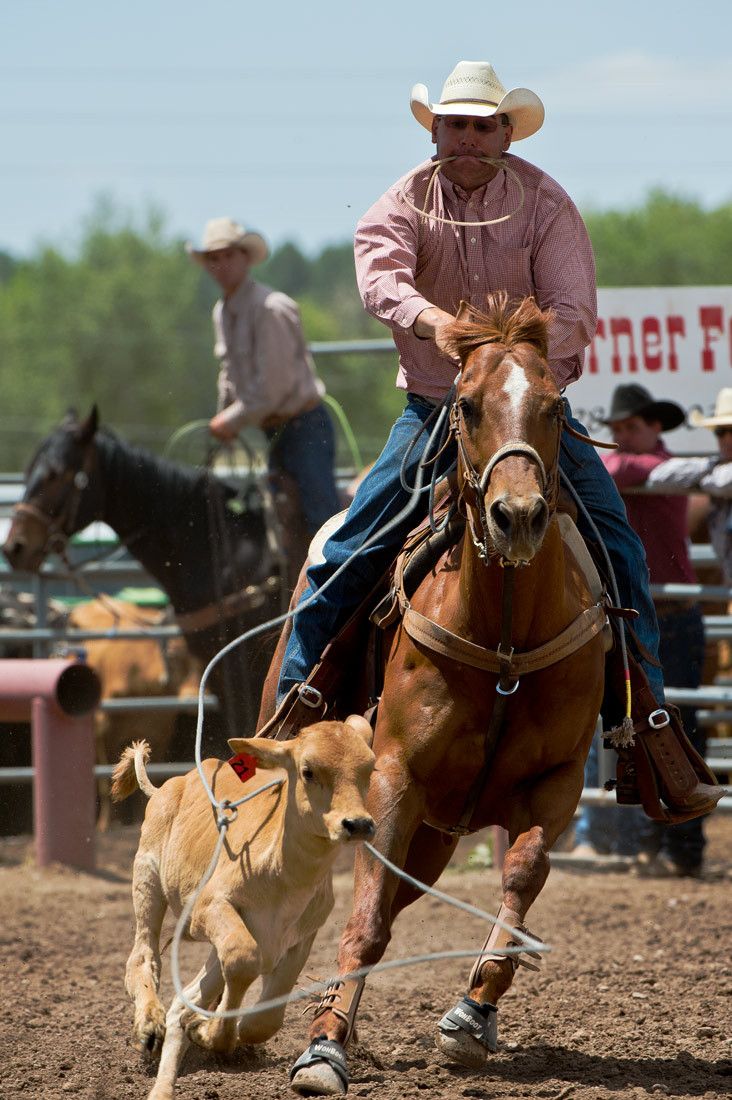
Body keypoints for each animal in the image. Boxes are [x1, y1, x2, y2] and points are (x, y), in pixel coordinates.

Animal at [110, 716, 376, 1100]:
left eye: (369, 768)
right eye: (308, 770)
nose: (358, 824)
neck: (284, 874)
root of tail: (167, 786)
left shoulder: (302, 936)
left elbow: (264, 1019)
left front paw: (203, 1027)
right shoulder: (209, 909)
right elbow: (242, 958)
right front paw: (207, 1030)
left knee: (184, 1001)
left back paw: (165, 1079)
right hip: (147, 879)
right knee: (143, 957)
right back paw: (149, 1024)